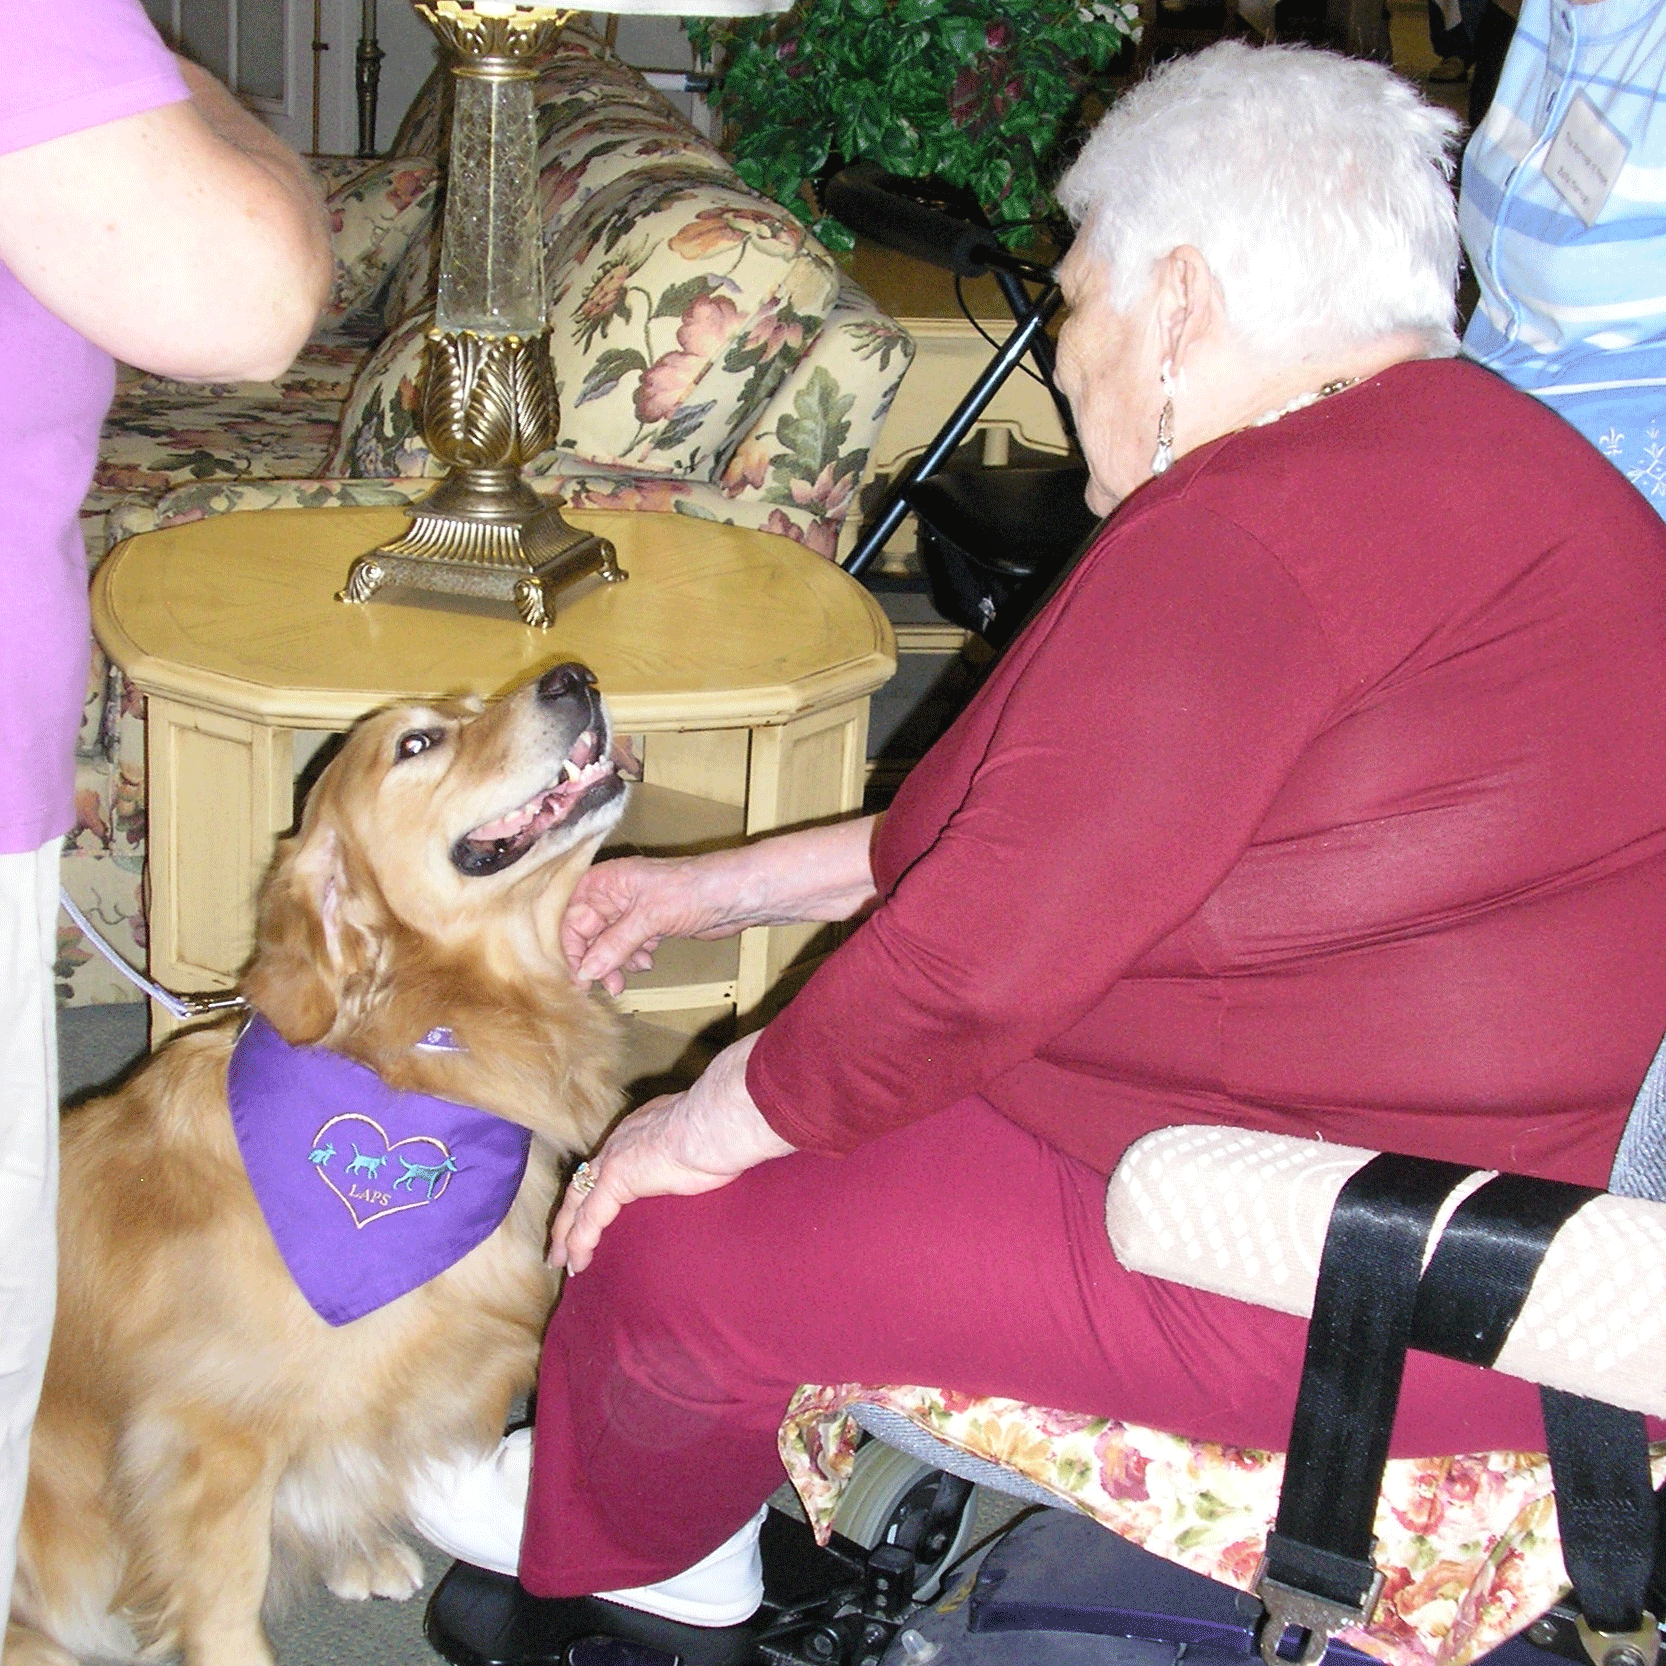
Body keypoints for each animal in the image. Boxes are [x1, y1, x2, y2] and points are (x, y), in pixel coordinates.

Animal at [9, 656, 633, 1659]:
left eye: (471, 704)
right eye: (418, 742)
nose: (574, 676)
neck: (406, 1049)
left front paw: (350, 1547)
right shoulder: (206, 1439)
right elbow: (228, 1590)